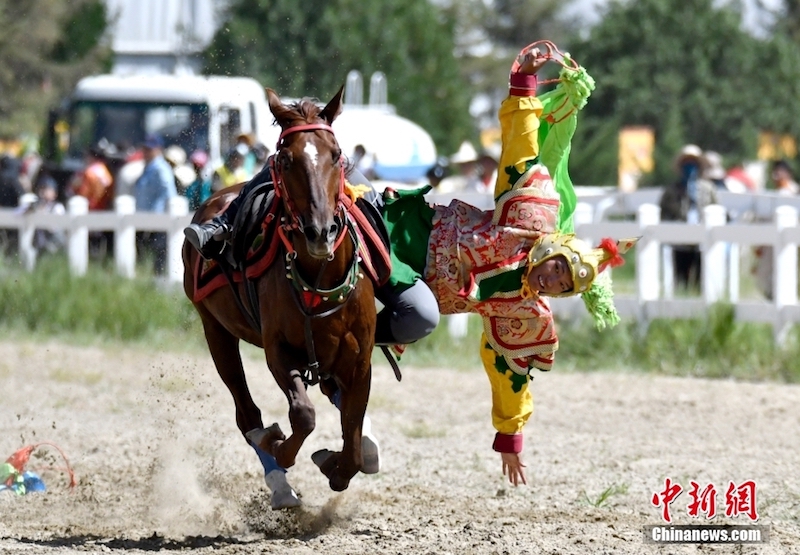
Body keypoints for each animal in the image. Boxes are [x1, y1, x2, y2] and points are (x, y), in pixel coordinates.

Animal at [183, 86, 376, 504]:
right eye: (286, 160)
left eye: (336, 154)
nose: (320, 231)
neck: (319, 279)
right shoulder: (279, 351)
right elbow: (302, 417)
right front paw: (277, 445)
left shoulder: (359, 361)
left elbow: (352, 438)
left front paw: (336, 463)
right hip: (214, 329)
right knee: (246, 414)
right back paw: (277, 477)